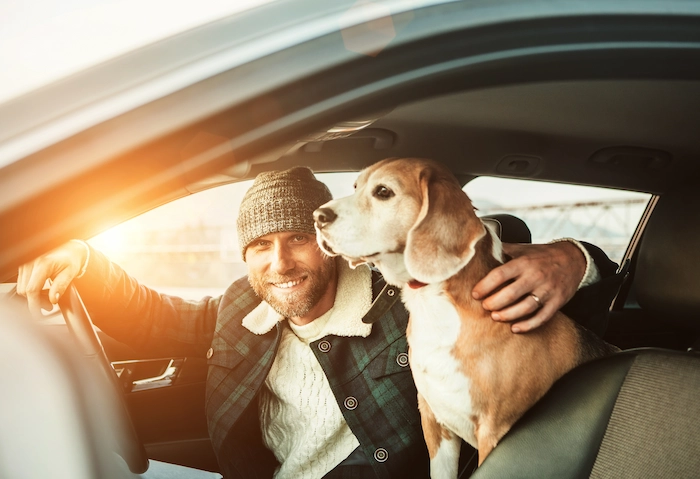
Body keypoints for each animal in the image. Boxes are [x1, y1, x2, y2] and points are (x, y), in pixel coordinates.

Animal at [314, 159, 616, 478]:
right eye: (355, 187)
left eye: (383, 191)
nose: (317, 217)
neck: (435, 307)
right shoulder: (434, 421)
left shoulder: (494, 431)